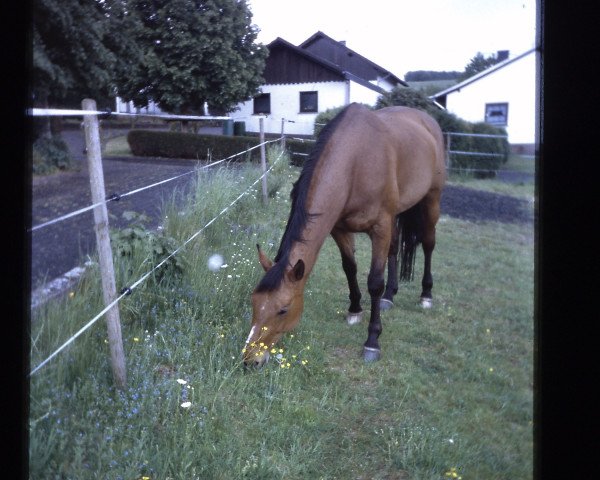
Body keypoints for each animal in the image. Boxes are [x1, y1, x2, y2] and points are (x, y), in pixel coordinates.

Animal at [244, 103, 446, 366]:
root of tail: (428, 121)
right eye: (254, 301)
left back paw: (426, 294)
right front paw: (355, 309)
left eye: (283, 309)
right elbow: (350, 267)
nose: (250, 360)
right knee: (394, 249)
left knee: (429, 244)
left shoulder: (380, 228)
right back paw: (390, 296)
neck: (355, 163)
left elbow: (374, 282)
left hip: (432, 200)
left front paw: (372, 341)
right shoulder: (339, 228)